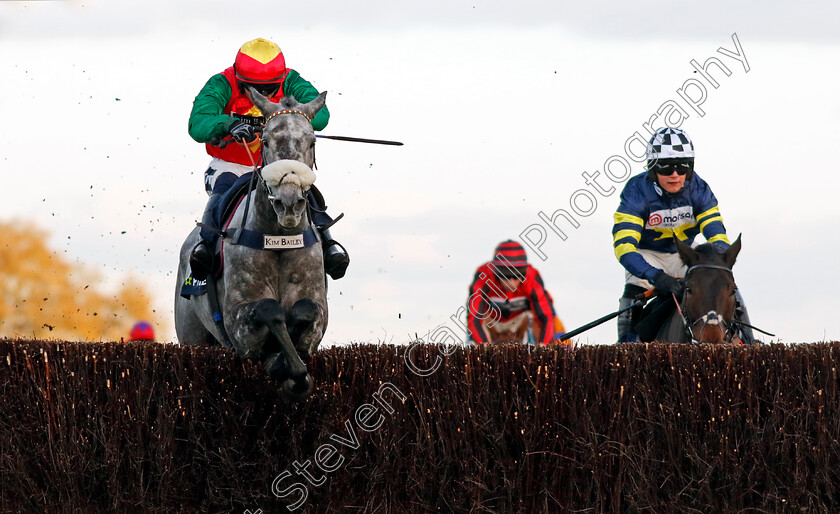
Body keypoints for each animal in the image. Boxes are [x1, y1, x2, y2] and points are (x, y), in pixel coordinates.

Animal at [174, 89, 328, 400]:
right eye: (265, 140)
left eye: (312, 141)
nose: (289, 203)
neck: (279, 240)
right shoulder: (238, 326)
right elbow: (268, 309)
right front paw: (286, 366)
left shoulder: (318, 315)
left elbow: (306, 310)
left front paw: (291, 367)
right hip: (192, 336)